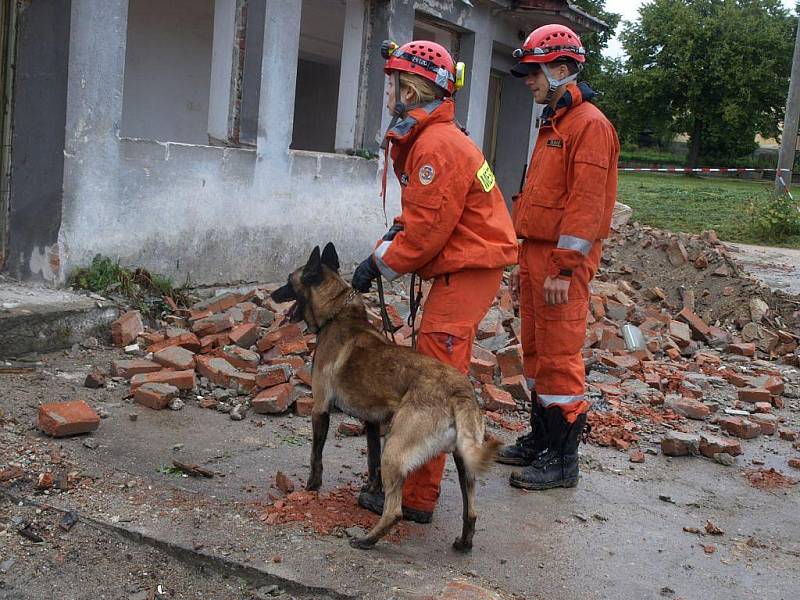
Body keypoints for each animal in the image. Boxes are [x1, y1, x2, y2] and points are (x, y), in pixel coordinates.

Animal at [272, 243, 496, 548]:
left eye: (288, 281)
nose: (272, 294)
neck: (338, 313)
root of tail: (459, 391)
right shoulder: (372, 422)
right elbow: (371, 461)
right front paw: (371, 487)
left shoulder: (320, 408)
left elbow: (315, 455)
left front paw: (311, 486)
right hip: (464, 463)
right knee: (471, 511)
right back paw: (463, 543)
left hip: (396, 447)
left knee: (395, 511)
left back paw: (367, 540)